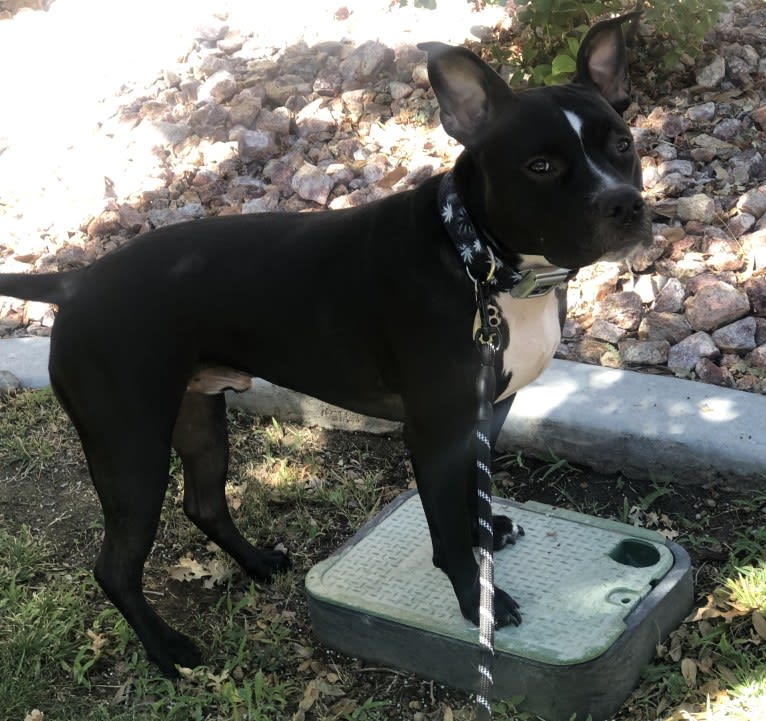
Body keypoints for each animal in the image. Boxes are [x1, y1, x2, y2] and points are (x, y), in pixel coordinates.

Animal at [0, 12, 652, 676]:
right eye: (540, 166)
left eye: (622, 144)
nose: (624, 203)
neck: (477, 257)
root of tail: (75, 281)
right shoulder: (434, 433)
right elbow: (446, 528)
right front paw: (478, 604)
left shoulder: (486, 415)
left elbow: (472, 497)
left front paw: (487, 534)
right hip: (130, 449)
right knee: (115, 566)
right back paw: (167, 649)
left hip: (196, 416)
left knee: (204, 503)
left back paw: (257, 562)